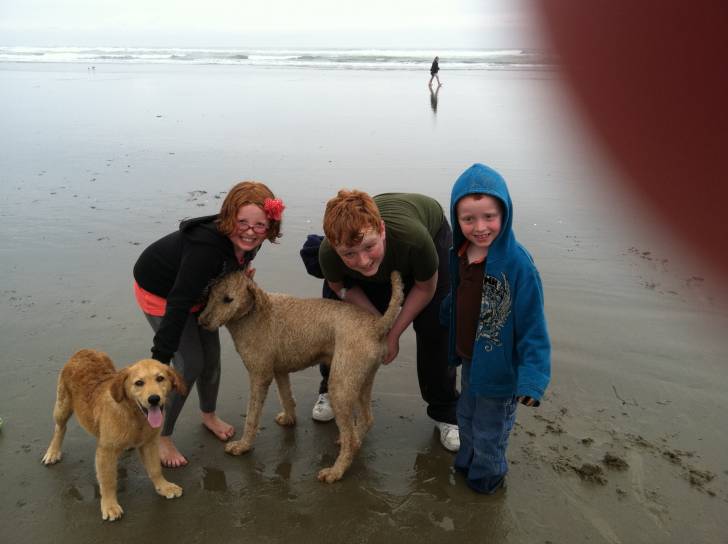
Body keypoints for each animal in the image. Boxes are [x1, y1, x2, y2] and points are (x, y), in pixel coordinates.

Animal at [41, 349, 187, 521]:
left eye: (160, 378)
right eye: (139, 383)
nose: (154, 399)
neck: (135, 418)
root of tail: (83, 350)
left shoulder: (149, 444)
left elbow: (155, 469)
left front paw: (164, 487)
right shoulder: (106, 451)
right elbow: (108, 480)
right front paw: (109, 505)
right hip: (62, 407)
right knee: (60, 428)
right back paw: (53, 452)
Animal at [198, 270, 404, 483]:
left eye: (228, 299)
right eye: (210, 294)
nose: (201, 321)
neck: (254, 312)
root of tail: (377, 325)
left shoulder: (259, 375)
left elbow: (252, 416)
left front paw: (242, 445)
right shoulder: (280, 370)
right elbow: (287, 397)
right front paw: (289, 419)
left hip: (340, 386)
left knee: (351, 440)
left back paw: (335, 471)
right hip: (361, 381)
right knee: (366, 420)